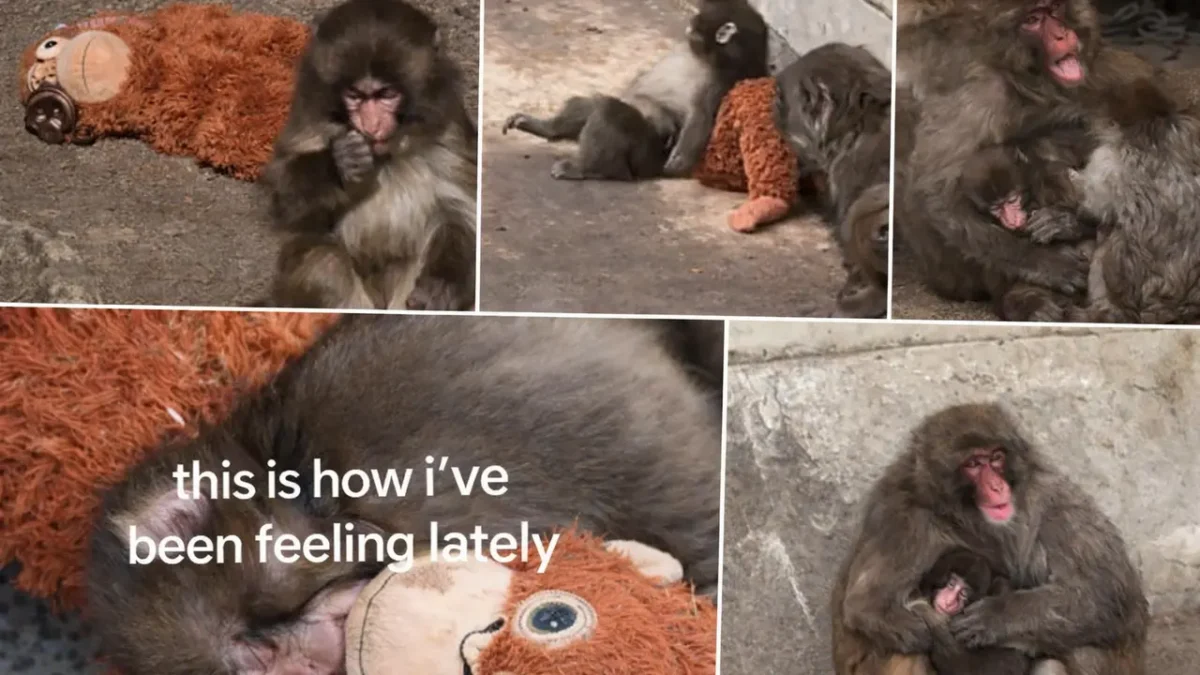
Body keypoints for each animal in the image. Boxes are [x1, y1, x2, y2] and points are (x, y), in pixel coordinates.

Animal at [261, 0, 478, 312]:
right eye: (355, 95)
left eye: (386, 94)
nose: (370, 125)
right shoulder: (309, 118)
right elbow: (284, 199)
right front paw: (338, 164)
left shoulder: (450, 128)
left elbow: (460, 210)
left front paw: (442, 284)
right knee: (324, 262)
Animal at [500, 0, 768, 181]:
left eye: (698, 20)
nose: (690, 25)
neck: (708, 56)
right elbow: (638, 87)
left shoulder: (721, 78)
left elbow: (699, 117)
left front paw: (677, 161)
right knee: (596, 104)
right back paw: (546, 128)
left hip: (643, 153)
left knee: (610, 112)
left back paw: (588, 169)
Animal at [830, 402, 1148, 675]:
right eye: (973, 463)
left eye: (996, 458)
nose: (997, 486)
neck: (963, 515)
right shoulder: (903, 520)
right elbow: (872, 609)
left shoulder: (1049, 492)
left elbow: (1106, 590)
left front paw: (998, 616)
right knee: (907, 647)